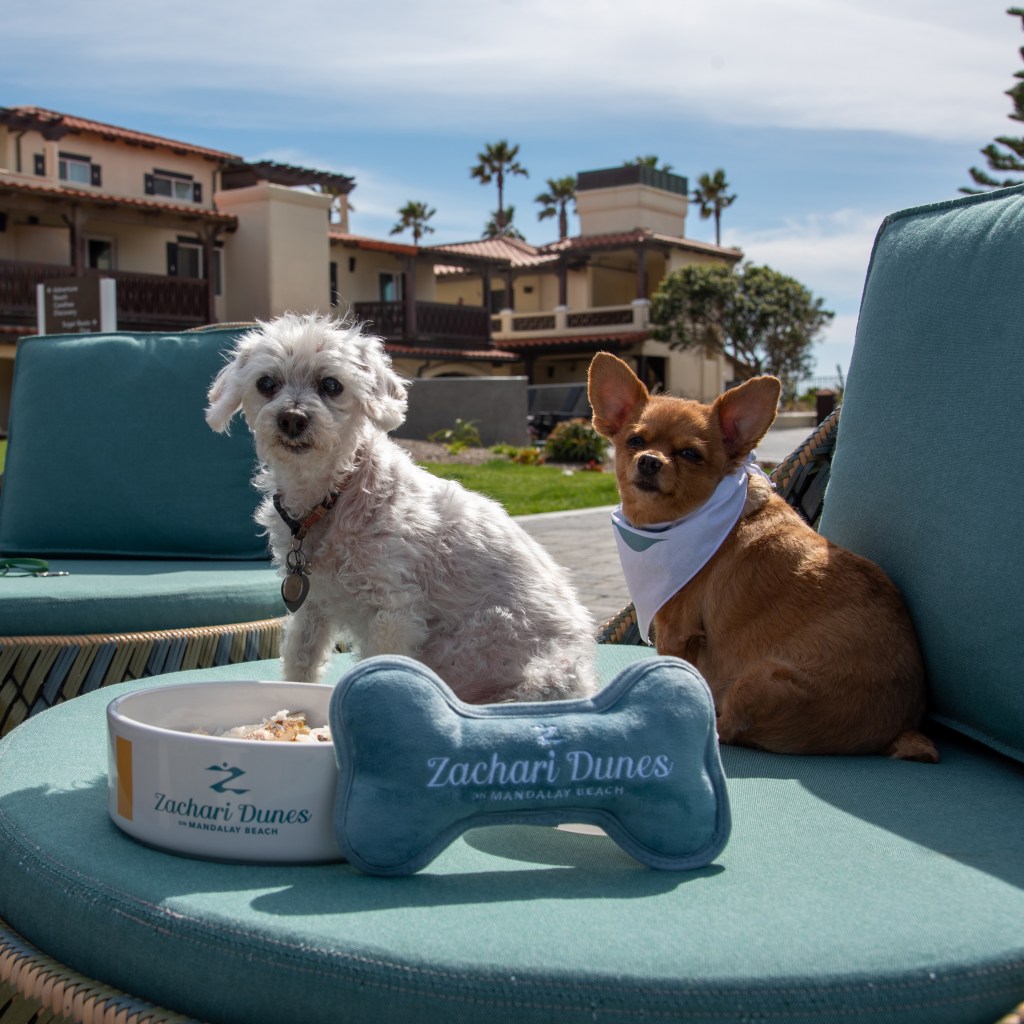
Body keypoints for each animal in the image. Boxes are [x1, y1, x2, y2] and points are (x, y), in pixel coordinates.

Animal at [203, 311, 598, 704]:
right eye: (266, 383)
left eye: (331, 385)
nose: (292, 418)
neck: (331, 498)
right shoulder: (312, 603)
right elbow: (301, 657)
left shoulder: (392, 610)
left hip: (506, 661)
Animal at [593, 352, 937, 761]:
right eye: (634, 440)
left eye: (690, 454)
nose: (649, 460)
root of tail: (902, 727)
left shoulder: (676, 630)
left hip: (757, 680)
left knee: (729, 729)